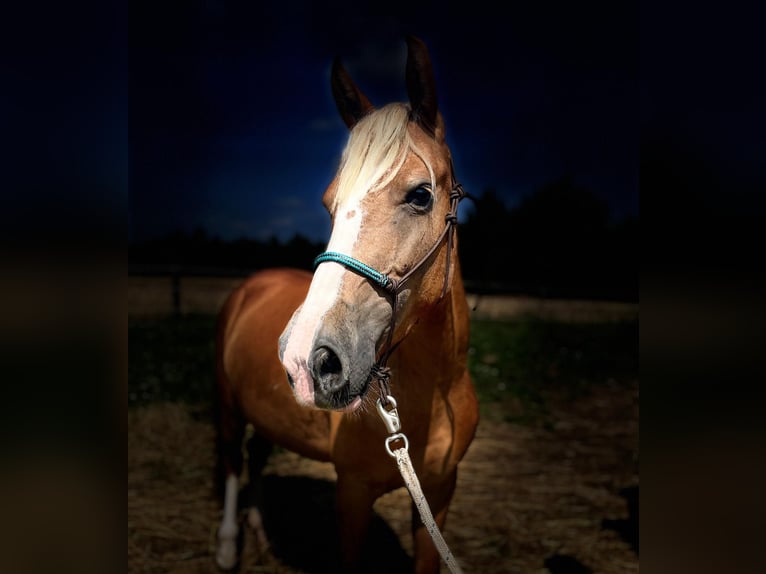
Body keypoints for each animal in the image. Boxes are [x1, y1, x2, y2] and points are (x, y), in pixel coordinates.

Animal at [216, 37, 476, 574]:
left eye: (421, 195)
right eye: (328, 204)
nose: (306, 358)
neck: (433, 391)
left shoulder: (438, 496)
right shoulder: (352, 493)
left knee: (256, 455)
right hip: (228, 401)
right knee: (232, 458)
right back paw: (229, 545)